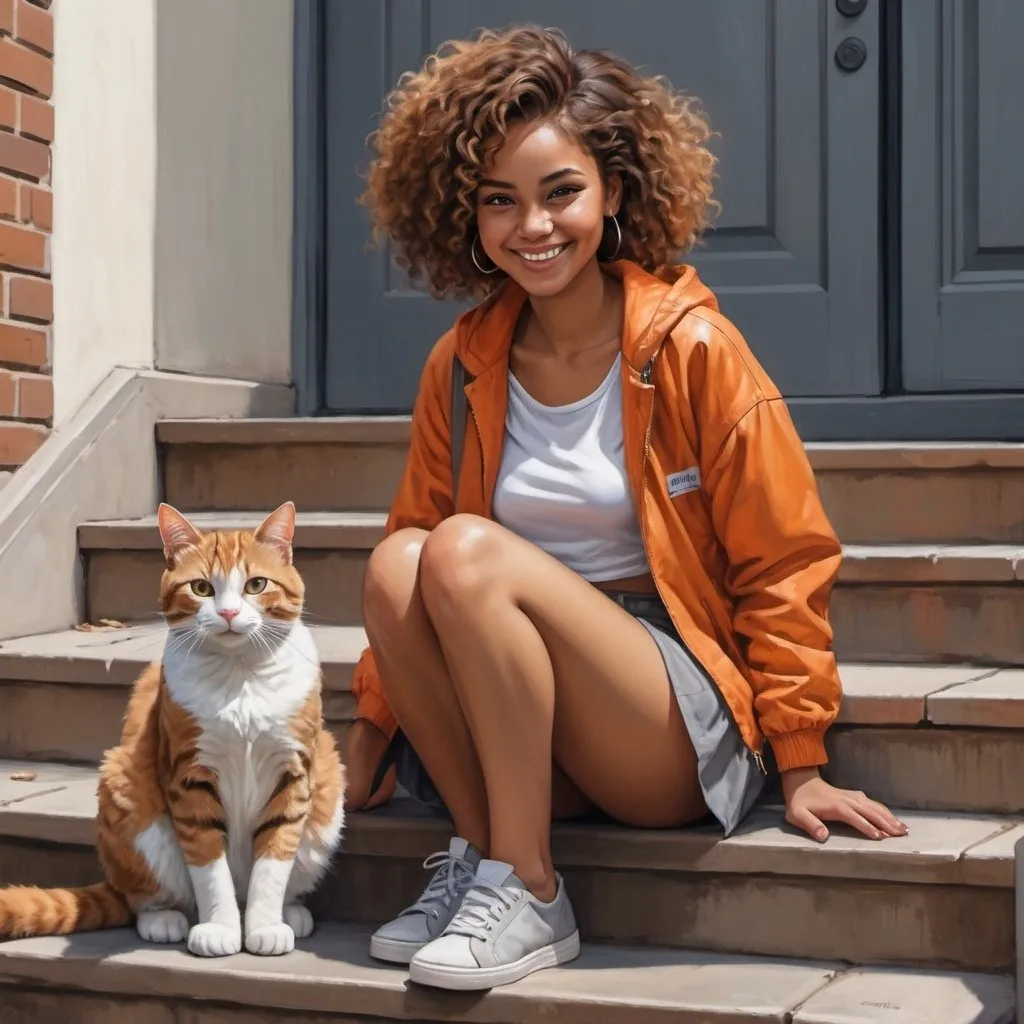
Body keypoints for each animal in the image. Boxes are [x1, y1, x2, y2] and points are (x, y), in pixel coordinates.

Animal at [0, 499, 348, 954]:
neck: (239, 678)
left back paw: (290, 912)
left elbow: (273, 863)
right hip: (126, 788)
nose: (229, 612)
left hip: (329, 792)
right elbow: (209, 866)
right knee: (142, 897)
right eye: (201, 589)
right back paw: (163, 919)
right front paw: (220, 929)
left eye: (256, 585)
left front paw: (265, 926)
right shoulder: (190, 777)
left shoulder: (293, 773)